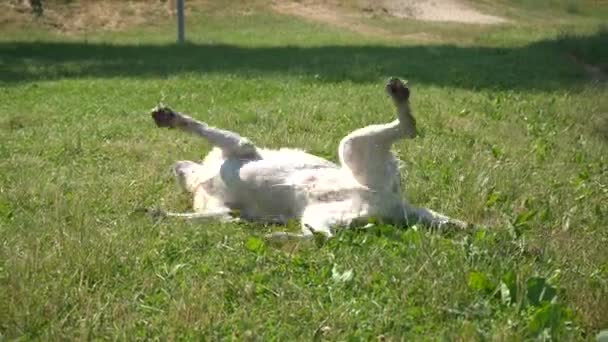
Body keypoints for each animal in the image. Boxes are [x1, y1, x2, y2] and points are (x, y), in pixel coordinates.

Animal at [148, 78, 466, 239]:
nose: (174, 166)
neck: (202, 180)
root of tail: (398, 205)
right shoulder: (225, 212)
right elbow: (206, 217)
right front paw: (161, 215)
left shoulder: (238, 146)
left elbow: (198, 127)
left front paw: (170, 118)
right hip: (319, 212)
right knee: (323, 237)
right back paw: (280, 237)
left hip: (350, 145)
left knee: (408, 127)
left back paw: (399, 95)